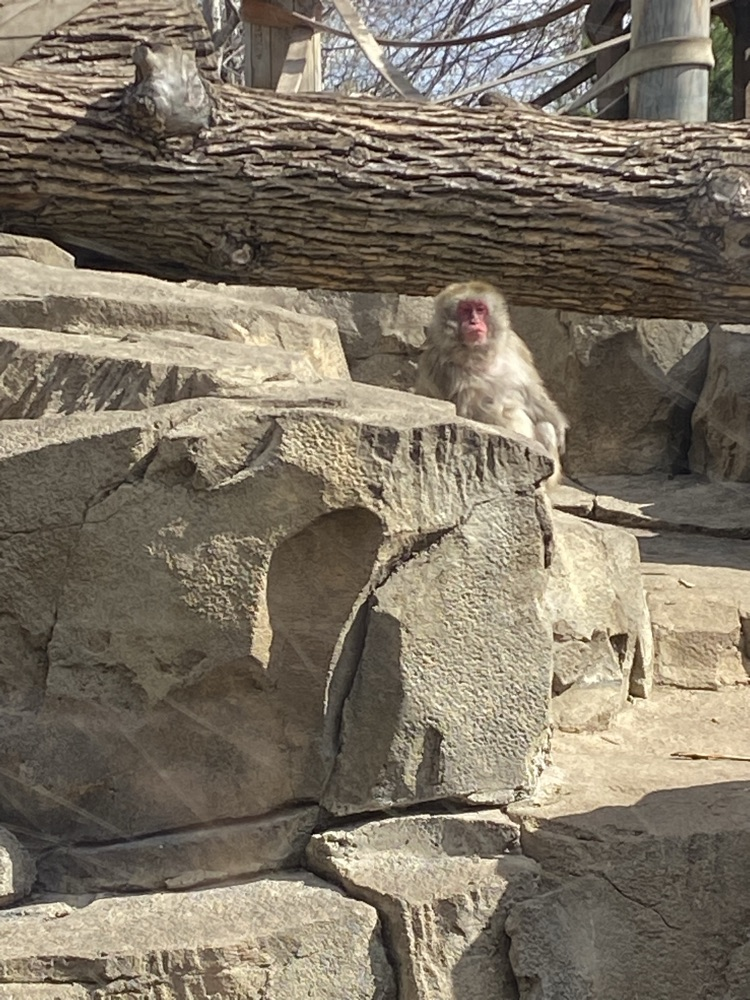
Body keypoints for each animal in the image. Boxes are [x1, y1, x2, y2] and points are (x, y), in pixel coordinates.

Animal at [414, 281, 568, 485]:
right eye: (465, 310)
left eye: (480, 309)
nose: (474, 322)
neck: (479, 354)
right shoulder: (437, 364)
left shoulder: (515, 344)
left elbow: (531, 392)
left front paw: (559, 427)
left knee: (545, 426)